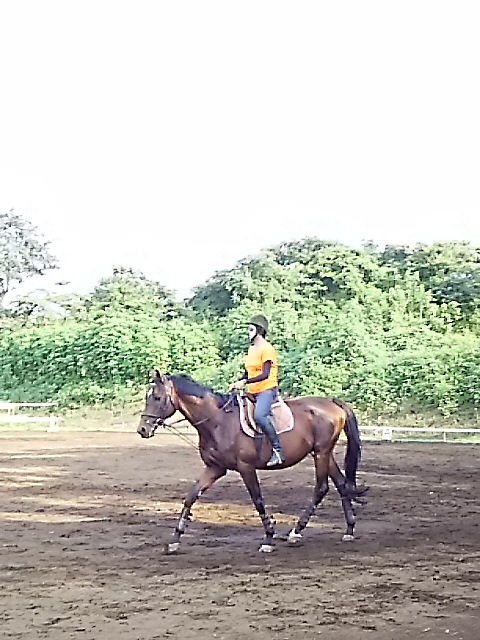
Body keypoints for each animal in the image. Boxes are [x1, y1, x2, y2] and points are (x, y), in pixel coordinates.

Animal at [137, 370, 367, 554]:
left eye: (157, 397)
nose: (142, 430)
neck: (218, 421)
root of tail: (332, 402)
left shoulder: (245, 468)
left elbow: (257, 500)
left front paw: (268, 538)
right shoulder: (215, 468)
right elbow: (191, 496)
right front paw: (175, 539)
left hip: (321, 452)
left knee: (321, 488)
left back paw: (296, 531)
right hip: (323, 453)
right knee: (341, 484)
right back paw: (349, 529)